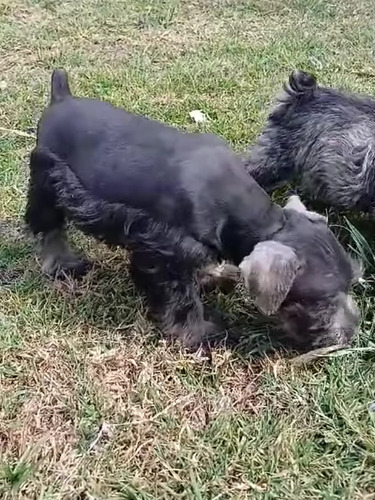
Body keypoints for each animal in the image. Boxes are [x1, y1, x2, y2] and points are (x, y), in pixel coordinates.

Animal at [25, 70, 362, 350]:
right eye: (323, 299)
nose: (351, 333)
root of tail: (62, 97)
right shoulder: (166, 257)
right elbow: (183, 302)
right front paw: (199, 334)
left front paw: (215, 275)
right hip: (47, 184)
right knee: (48, 229)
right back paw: (62, 264)